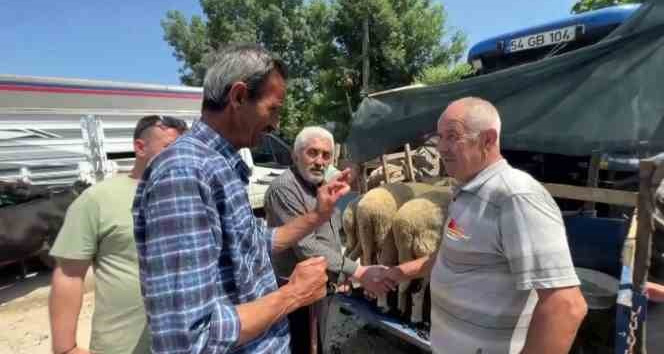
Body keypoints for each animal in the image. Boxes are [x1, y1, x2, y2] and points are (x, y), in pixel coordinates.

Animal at [392, 187, 454, 324]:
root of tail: (408, 225)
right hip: (427, 251)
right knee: (417, 291)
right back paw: (417, 320)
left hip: (404, 251)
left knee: (403, 283)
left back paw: (400, 311)